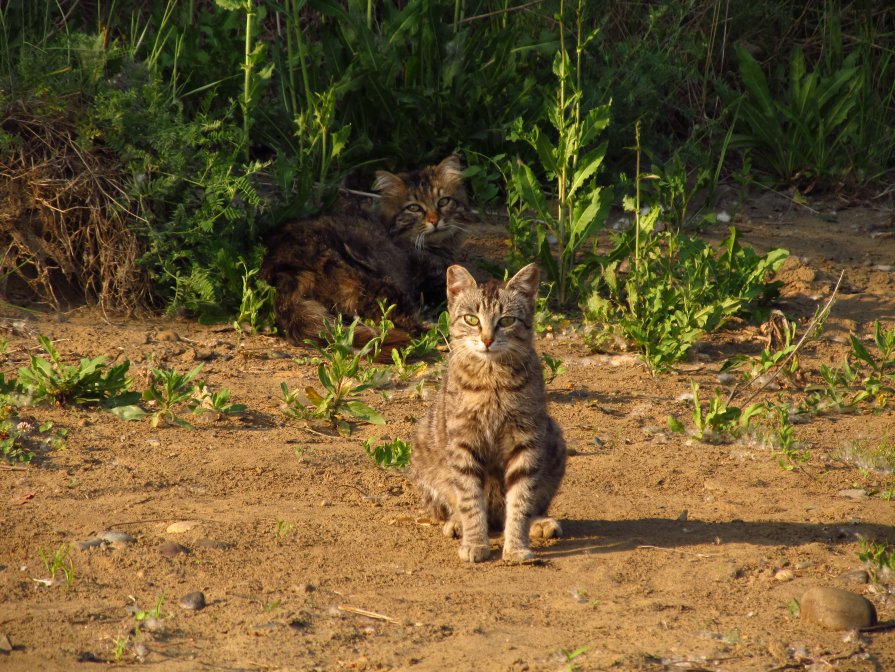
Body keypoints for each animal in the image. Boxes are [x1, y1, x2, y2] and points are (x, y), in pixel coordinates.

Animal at [260, 155, 476, 344]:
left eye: (443, 202)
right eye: (414, 208)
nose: (435, 220)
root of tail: (284, 271)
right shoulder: (430, 279)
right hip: (376, 282)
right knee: (405, 323)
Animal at [412, 262, 568, 560]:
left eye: (506, 321)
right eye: (471, 320)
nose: (486, 339)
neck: (492, 378)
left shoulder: (527, 440)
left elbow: (521, 500)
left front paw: (516, 547)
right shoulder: (463, 443)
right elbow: (470, 500)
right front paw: (475, 543)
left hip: (554, 439)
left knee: (532, 505)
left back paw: (539, 523)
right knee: (456, 504)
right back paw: (458, 524)